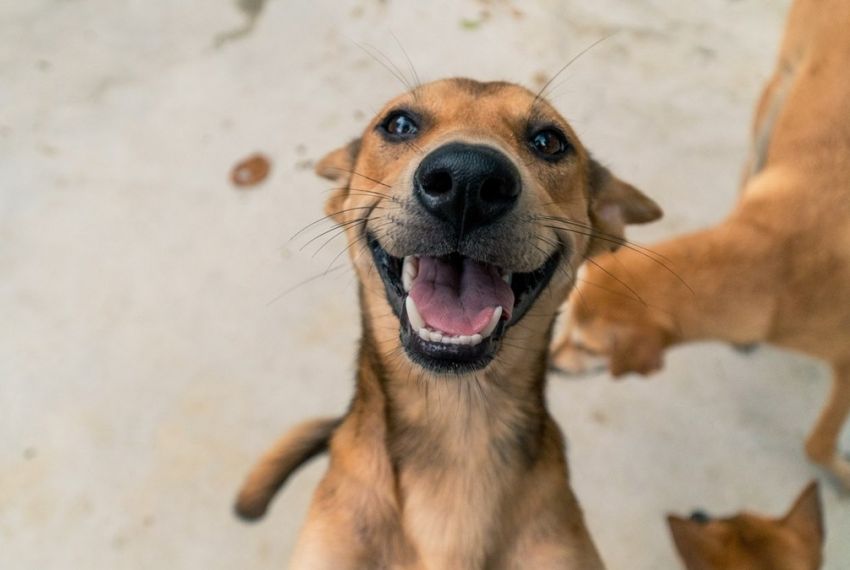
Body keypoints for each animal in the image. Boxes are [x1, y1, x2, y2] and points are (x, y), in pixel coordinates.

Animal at [548, 0, 848, 486]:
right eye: (566, 325)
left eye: (589, 348)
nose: (552, 365)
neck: (777, 256)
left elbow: (818, 440)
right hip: (779, 85)